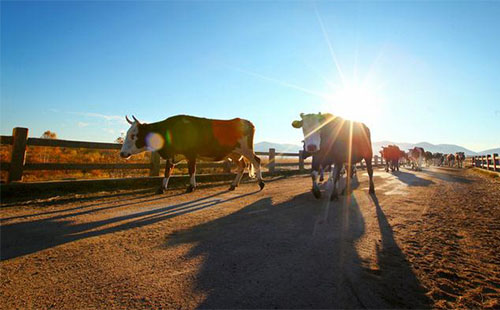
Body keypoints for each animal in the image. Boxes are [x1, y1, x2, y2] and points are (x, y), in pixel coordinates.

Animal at [119, 115, 266, 194]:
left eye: (133, 135)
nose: (122, 153)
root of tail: (246, 121)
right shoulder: (172, 155)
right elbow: (167, 171)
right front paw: (162, 188)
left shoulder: (191, 154)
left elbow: (191, 170)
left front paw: (191, 186)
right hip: (234, 153)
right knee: (242, 166)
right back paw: (233, 185)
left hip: (246, 149)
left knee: (256, 161)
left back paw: (261, 182)